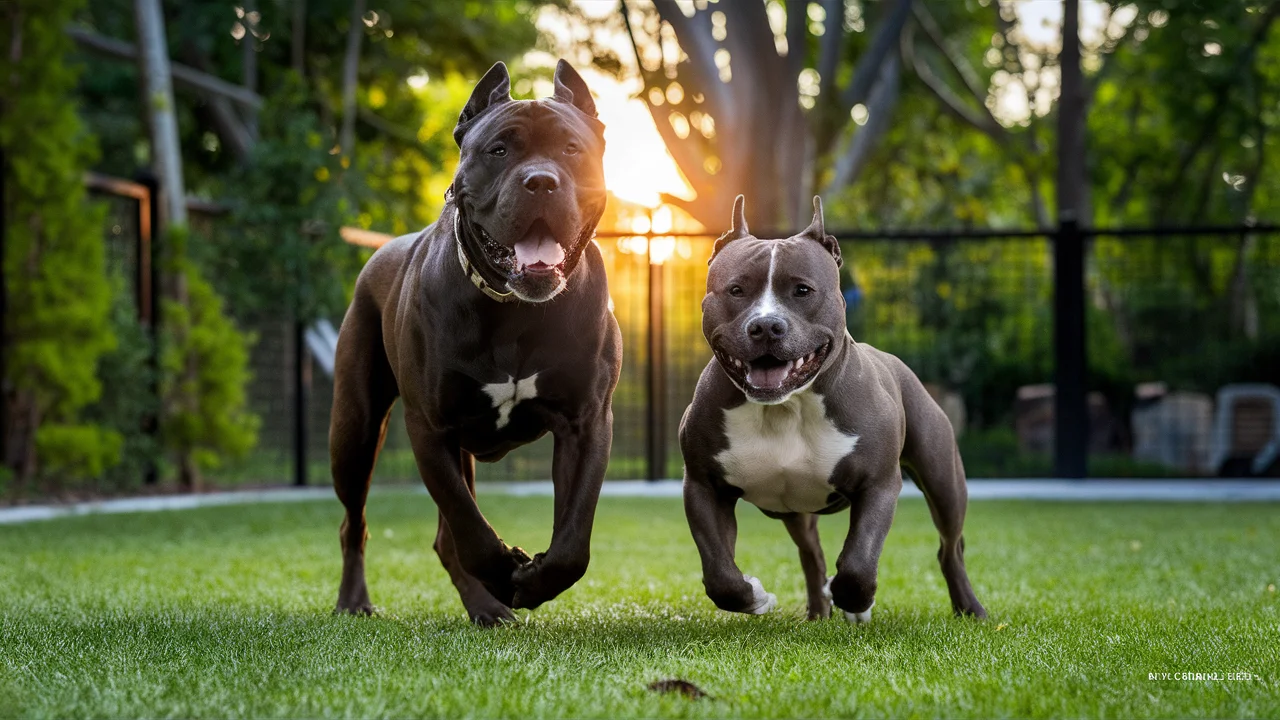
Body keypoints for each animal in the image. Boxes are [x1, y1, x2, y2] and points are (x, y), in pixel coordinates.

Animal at [330, 61, 619, 622]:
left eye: (572, 149)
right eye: (499, 150)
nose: (541, 181)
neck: (513, 309)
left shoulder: (587, 421)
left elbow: (574, 538)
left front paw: (535, 580)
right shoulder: (430, 426)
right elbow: (471, 529)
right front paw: (507, 572)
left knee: (446, 536)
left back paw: (487, 607)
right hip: (354, 434)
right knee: (358, 523)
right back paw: (356, 600)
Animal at [680, 193, 988, 620]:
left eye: (803, 290)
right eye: (737, 290)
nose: (766, 326)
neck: (786, 407)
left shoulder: (879, 483)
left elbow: (859, 562)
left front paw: (857, 602)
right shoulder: (704, 485)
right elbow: (720, 574)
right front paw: (755, 596)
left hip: (943, 479)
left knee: (950, 548)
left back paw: (970, 608)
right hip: (794, 509)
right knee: (812, 554)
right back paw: (817, 610)